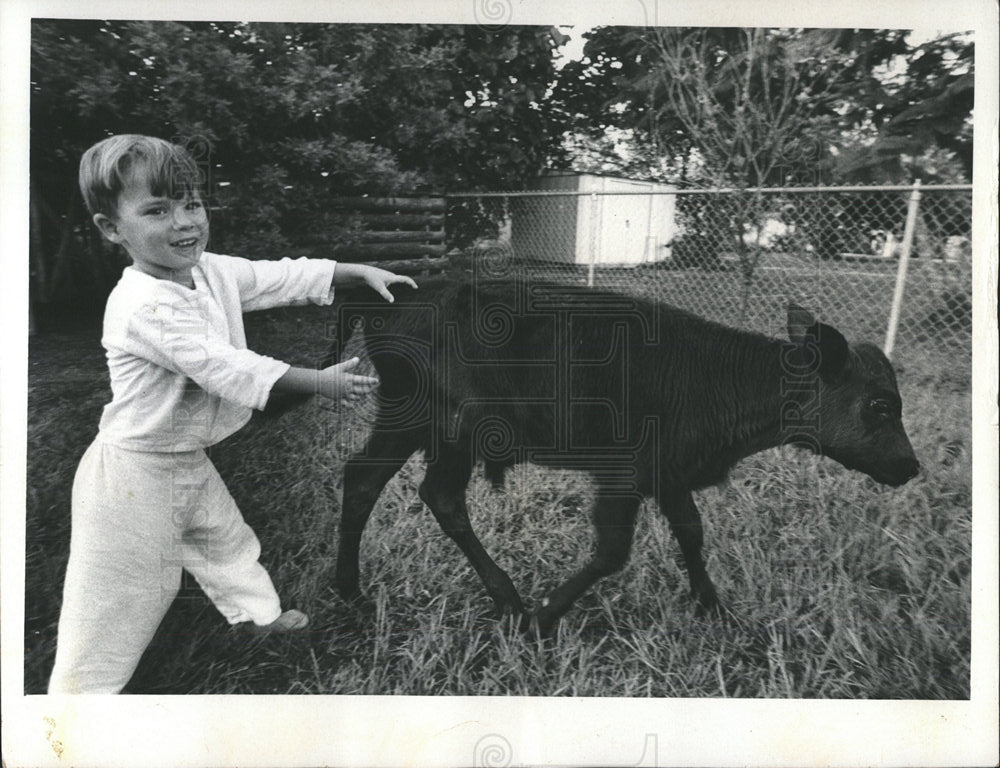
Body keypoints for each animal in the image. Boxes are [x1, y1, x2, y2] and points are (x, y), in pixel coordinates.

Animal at [332, 280, 916, 632]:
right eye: (881, 405)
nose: (911, 467)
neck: (717, 378)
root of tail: (395, 297)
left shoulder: (669, 474)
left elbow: (691, 532)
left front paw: (715, 608)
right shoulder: (623, 477)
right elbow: (613, 551)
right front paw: (544, 616)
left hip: (422, 429)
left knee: (387, 486)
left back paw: (360, 592)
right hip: (437, 430)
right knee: (420, 493)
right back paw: (500, 600)